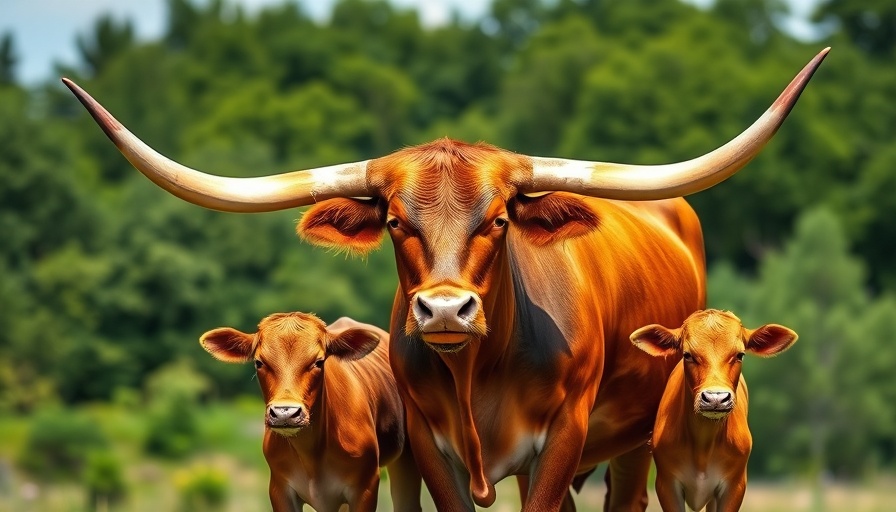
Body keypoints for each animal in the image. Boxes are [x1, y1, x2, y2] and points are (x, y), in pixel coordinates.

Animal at [201, 312, 422, 512]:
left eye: (318, 362)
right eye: (259, 362)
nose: (285, 412)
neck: (312, 454)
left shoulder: (365, 487)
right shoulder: (279, 489)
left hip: (406, 458)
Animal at [632, 310, 800, 510]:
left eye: (740, 355)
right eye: (687, 354)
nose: (715, 398)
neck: (702, 445)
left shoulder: (734, 485)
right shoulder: (667, 484)